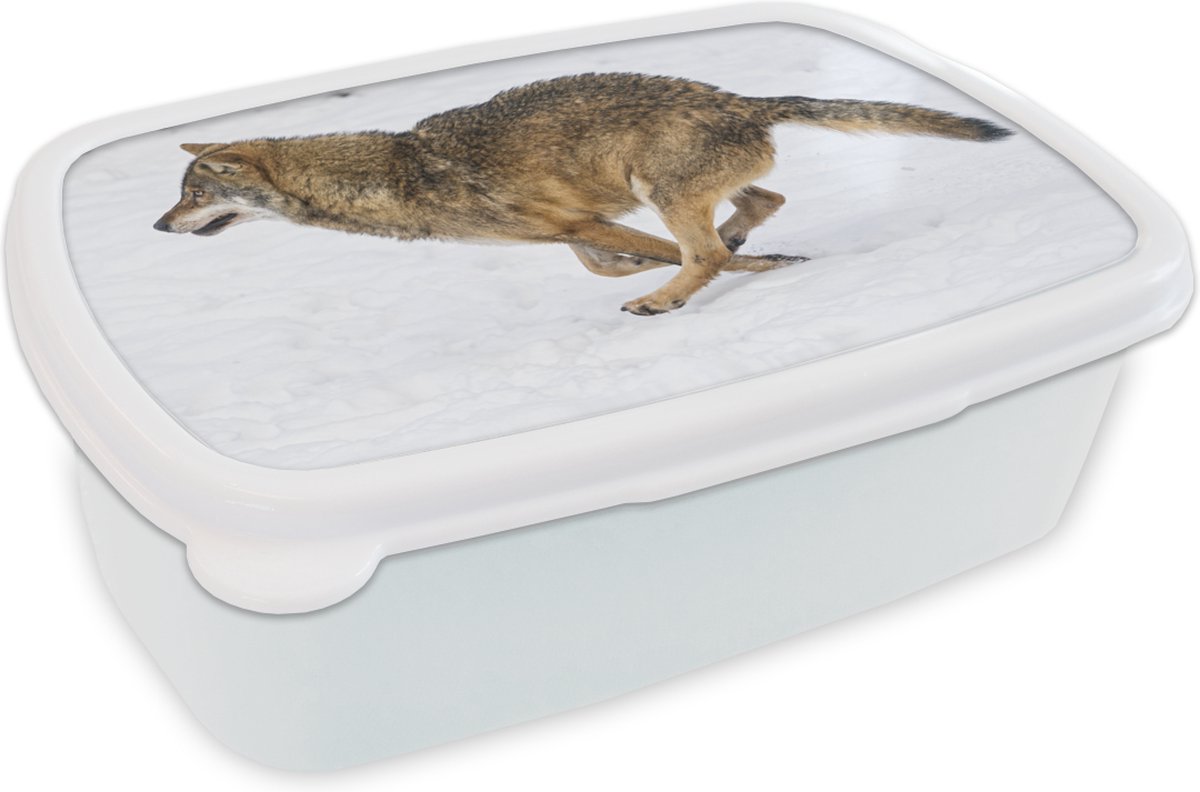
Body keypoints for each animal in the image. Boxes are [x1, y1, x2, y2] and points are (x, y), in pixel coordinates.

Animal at [154, 73, 1012, 315]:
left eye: (191, 194)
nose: (159, 228)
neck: (393, 177)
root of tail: (746, 99)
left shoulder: (581, 220)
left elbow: (653, 257)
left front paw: (729, 273)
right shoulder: (569, 226)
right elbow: (601, 259)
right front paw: (760, 264)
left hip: (657, 185)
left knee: (705, 245)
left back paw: (665, 301)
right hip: (677, 184)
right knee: (759, 206)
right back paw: (734, 248)